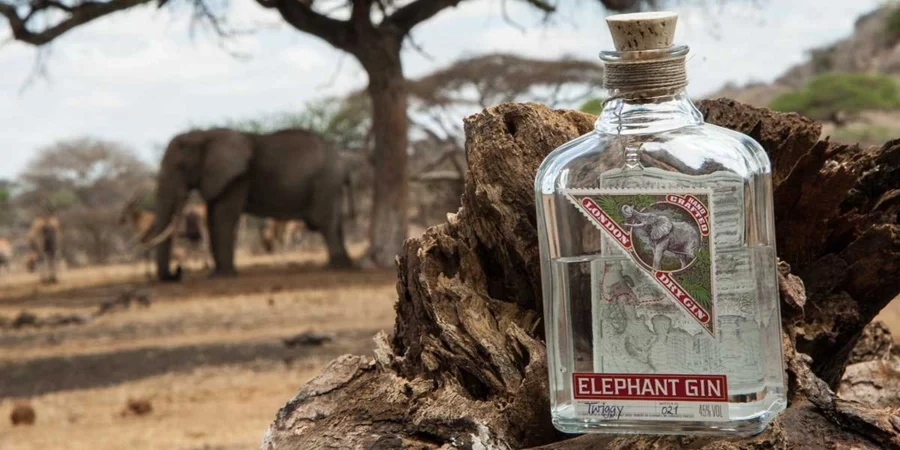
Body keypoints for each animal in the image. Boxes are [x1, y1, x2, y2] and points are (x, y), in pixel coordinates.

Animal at [138, 128, 355, 281]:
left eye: (181, 166)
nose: (176, 273)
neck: (204, 134)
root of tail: (342, 162)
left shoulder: (237, 178)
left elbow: (223, 217)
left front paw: (222, 276)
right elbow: (213, 218)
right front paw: (217, 274)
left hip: (324, 182)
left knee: (325, 221)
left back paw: (335, 267)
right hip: (329, 185)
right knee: (336, 222)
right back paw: (346, 264)